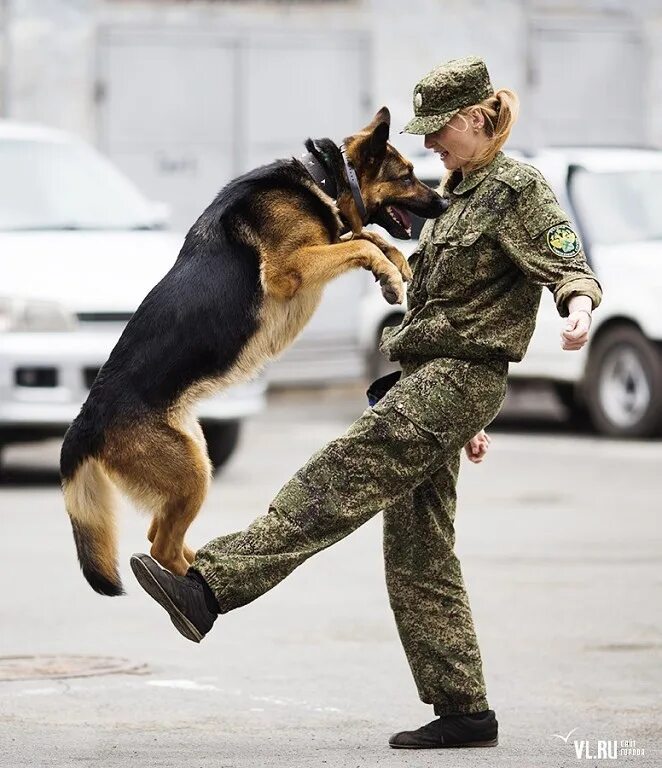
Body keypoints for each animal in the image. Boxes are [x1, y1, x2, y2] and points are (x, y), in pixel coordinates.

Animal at [61, 106, 446, 592]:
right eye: (408, 175)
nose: (446, 204)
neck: (322, 178)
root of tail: (85, 419)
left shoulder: (323, 245)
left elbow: (370, 240)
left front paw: (395, 268)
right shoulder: (290, 269)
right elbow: (360, 241)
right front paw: (391, 274)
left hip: (194, 462)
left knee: (156, 535)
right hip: (192, 476)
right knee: (160, 547)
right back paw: (196, 588)